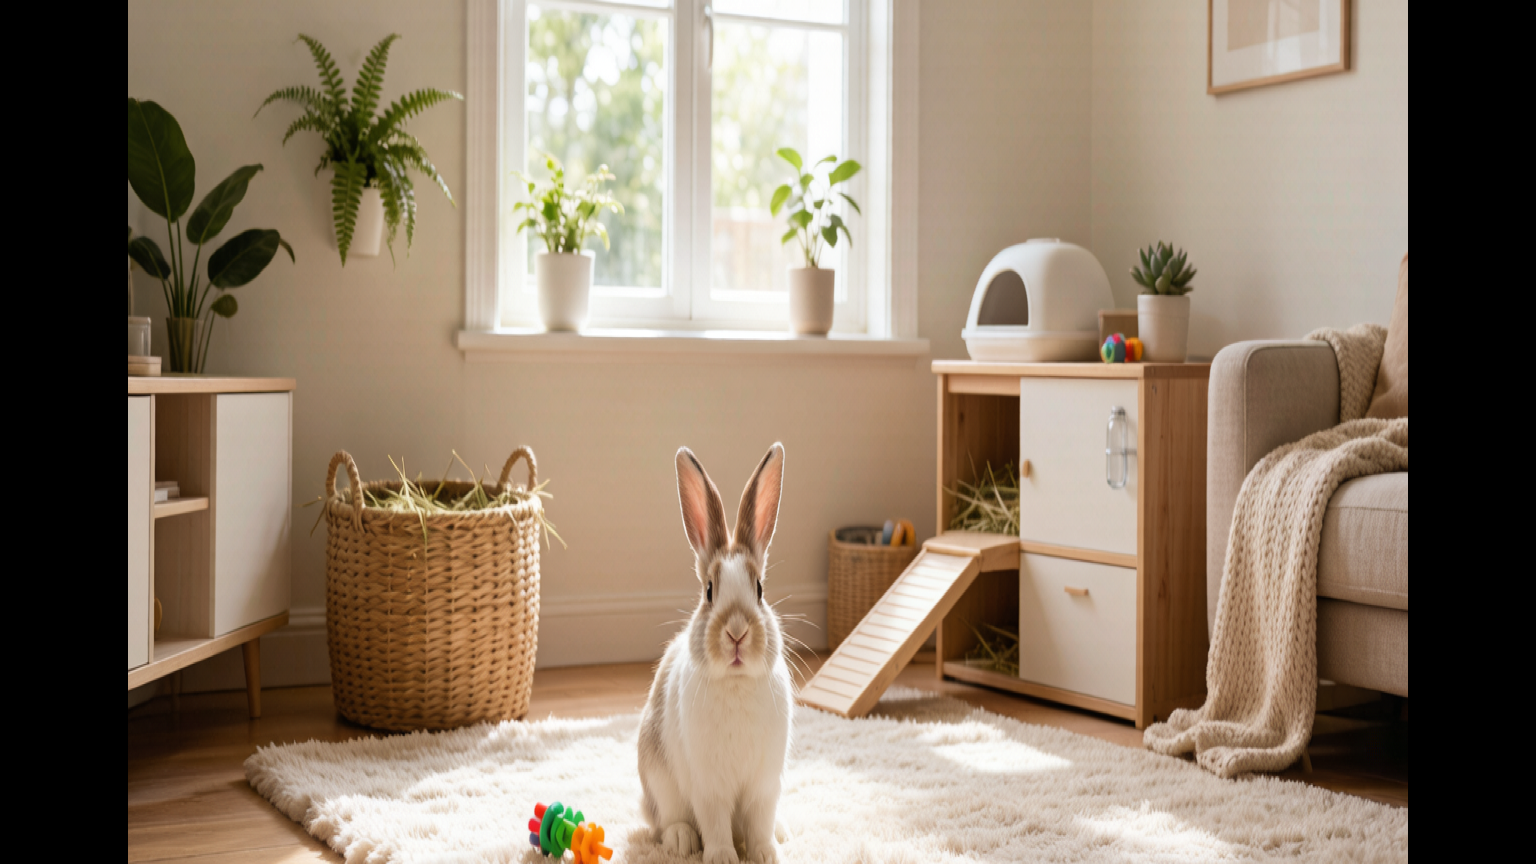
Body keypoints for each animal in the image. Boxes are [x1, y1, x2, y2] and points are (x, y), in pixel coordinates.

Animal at [638, 443, 794, 864]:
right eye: (709, 591)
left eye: (759, 589)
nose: (737, 632)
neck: (736, 683)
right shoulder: (709, 786)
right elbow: (716, 823)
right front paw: (723, 857)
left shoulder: (765, 785)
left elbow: (759, 822)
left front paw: (766, 854)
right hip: (658, 780)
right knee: (664, 821)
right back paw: (681, 840)